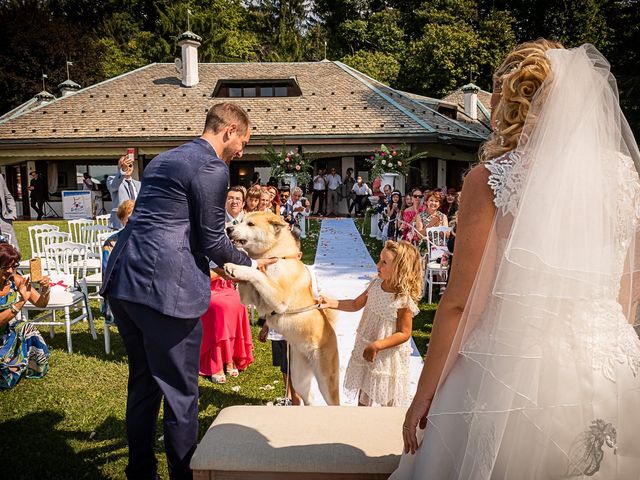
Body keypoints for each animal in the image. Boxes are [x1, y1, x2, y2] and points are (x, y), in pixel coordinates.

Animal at [224, 212, 340, 404]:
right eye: (239, 221)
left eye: (250, 224)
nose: (228, 229)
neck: (278, 258)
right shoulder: (251, 298)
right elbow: (251, 280)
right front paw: (237, 265)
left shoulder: (279, 299)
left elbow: (256, 274)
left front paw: (236, 267)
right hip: (298, 375)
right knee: (309, 398)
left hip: (326, 381)